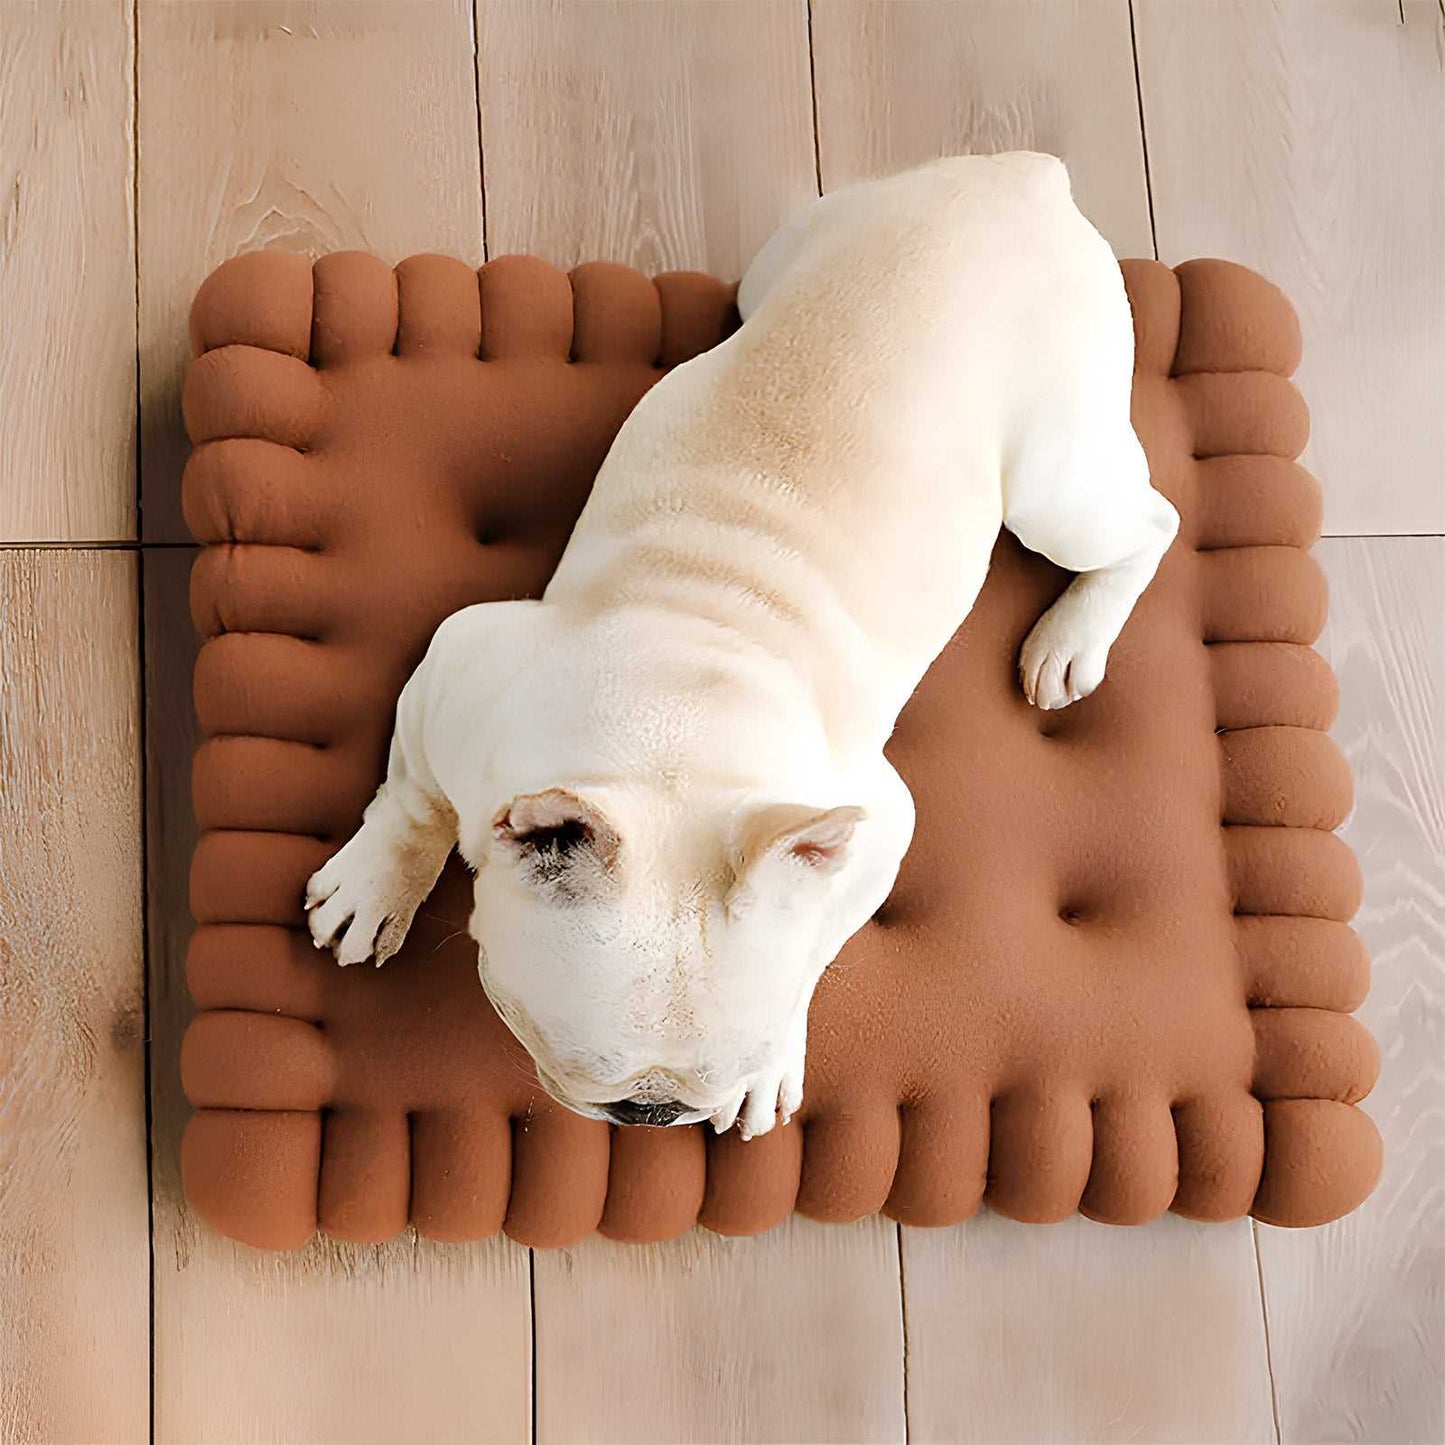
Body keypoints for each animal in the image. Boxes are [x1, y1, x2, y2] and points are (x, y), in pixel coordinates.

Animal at [302, 152, 1173, 1132]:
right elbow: (415, 802)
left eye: (733, 1060)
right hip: (792, 260)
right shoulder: (456, 670)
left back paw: (1073, 636)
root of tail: (1016, 177)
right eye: (544, 1040)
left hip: (1053, 487)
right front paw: (377, 886)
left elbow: (815, 936)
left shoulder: (876, 825)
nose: (652, 1112)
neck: (671, 731)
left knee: (1149, 523)